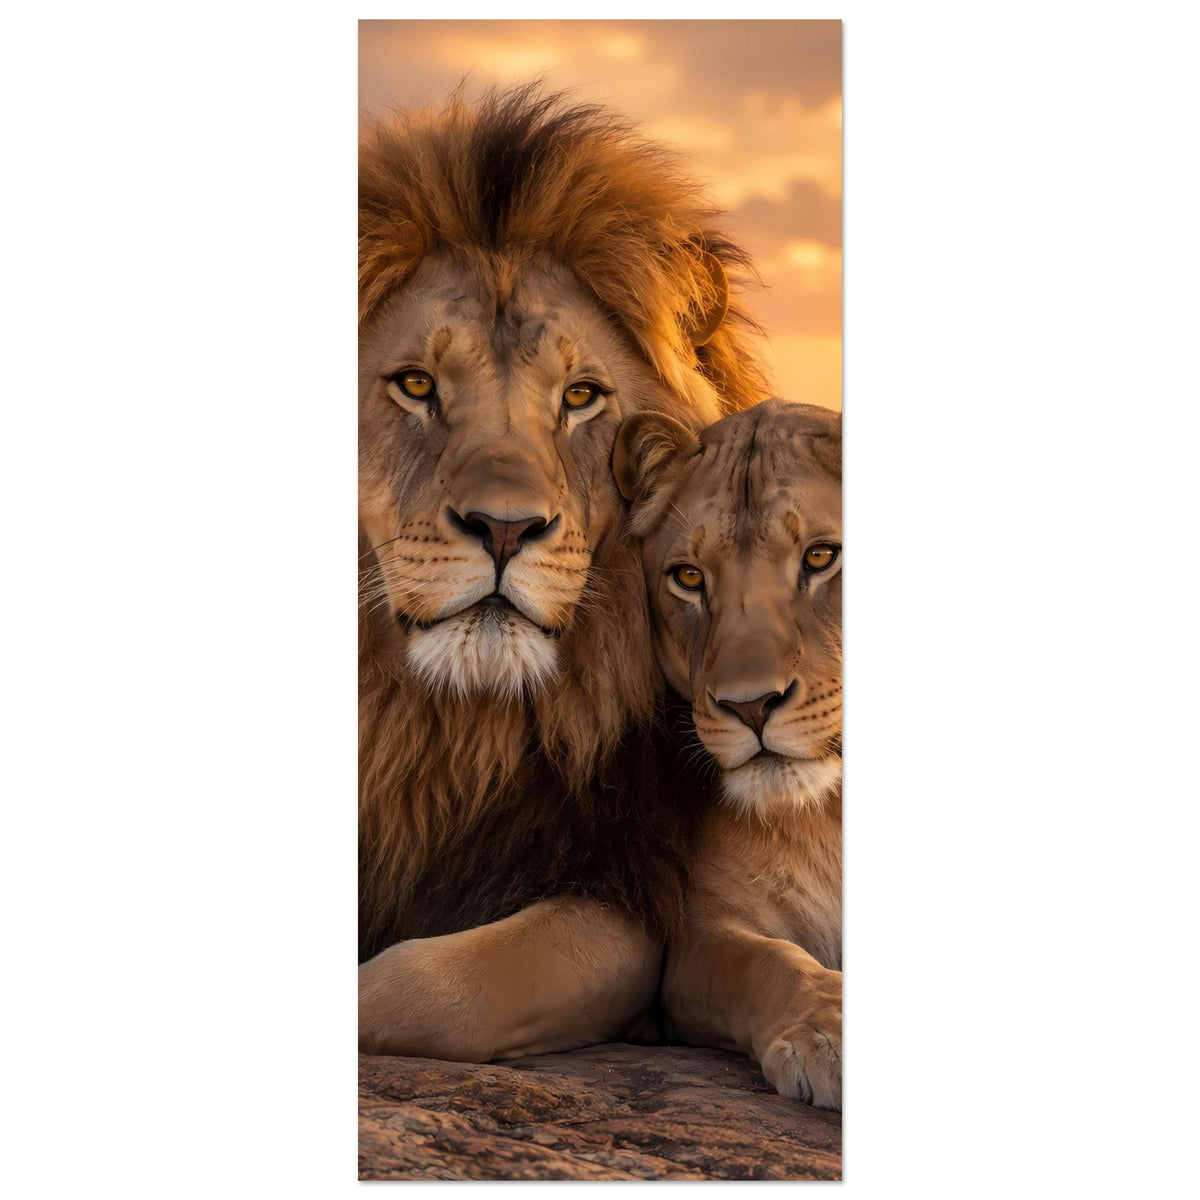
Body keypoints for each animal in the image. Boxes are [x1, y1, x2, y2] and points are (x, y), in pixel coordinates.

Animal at [358, 85, 770, 1061]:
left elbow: (426, 985)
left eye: (581, 398)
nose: (505, 529)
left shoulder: (625, 898)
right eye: (416, 386)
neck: (435, 736)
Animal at [613, 398, 843, 1108]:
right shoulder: (698, 937)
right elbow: (767, 962)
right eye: (689, 577)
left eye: (821, 556)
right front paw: (829, 1033)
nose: (750, 706)